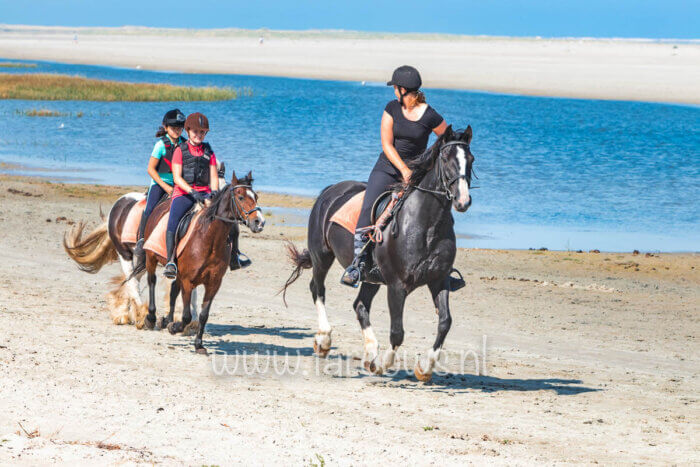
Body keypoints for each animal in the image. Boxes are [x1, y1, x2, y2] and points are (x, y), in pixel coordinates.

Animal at [139, 172, 262, 354]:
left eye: (256, 197)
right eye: (240, 197)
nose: (259, 222)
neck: (210, 239)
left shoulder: (213, 283)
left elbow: (203, 315)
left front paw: (198, 344)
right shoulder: (188, 281)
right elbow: (186, 316)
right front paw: (174, 327)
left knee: (173, 290)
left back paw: (165, 319)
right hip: (151, 257)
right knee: (152, 281)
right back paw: (152, 318)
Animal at [284, 126, 476, 382]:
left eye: (471, 160)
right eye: (446, 158)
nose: (463, 201)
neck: (426, 225)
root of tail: (331, 190)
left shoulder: (438, 280)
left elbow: (445, 322)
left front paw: (424, 368)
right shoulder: (396, 286)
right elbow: (397, 332)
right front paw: (383, 364)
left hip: (370, 277)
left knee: (360, 305)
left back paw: (370, 352)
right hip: (322, 256)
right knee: (318, 289)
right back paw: (324, 340)